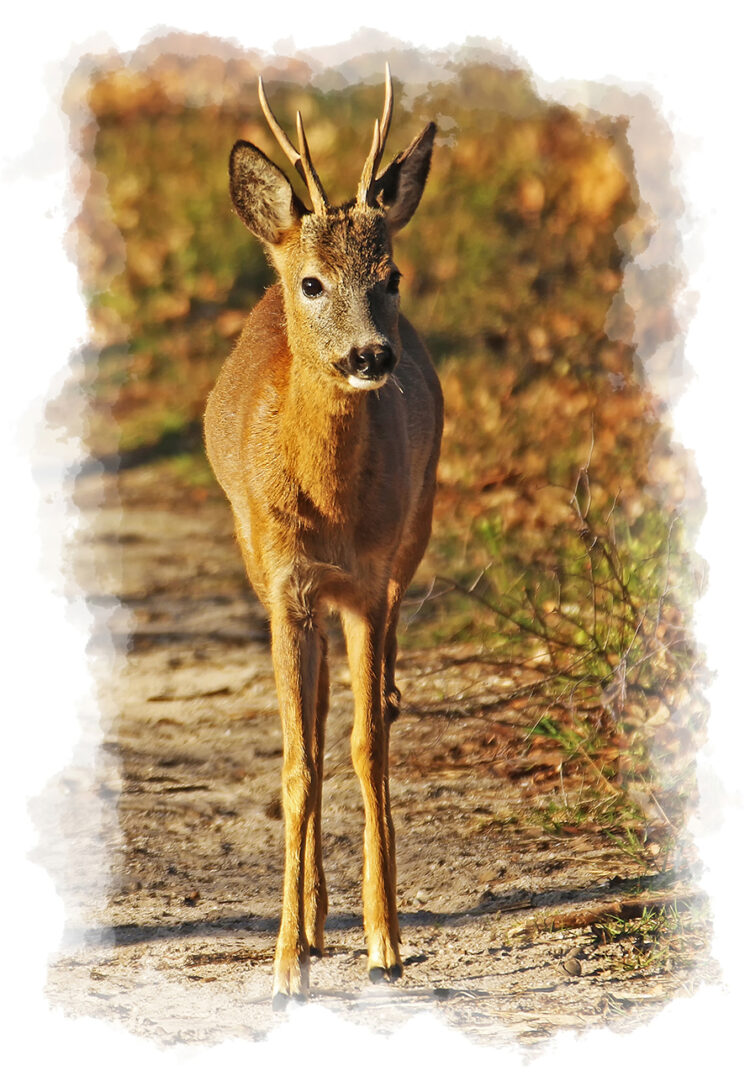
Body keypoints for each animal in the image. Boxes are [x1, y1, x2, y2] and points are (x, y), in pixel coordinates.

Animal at [202, 69, 441, 1007]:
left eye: (393, 273)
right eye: (312, 282)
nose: (372, 356)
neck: (332, 511)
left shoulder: (371, 584)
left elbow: (368, 746)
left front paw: (386, 942)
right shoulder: (284, 582)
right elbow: (297, 764)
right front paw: (282, 966)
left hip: (409, 545)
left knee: (354, 710)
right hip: (259, 565)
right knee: (307, 719)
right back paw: (306, 923)